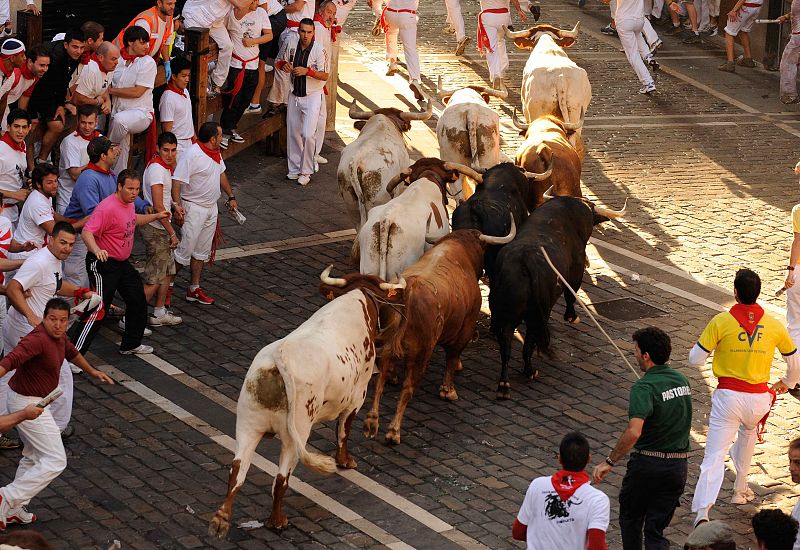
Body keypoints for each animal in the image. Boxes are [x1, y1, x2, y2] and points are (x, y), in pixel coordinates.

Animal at [208, 270, 406, 536]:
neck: (357, 301)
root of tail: (278, 357)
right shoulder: (357, 397)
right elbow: (343, 430)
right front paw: (344, 461)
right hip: (297, 434)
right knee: (280, 480)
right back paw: (277, 521)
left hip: (248, 425)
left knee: (237, 471)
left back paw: (221, 520)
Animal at [366, 222, 516, 446]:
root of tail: (409, 291)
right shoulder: (466, 326)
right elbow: (452, 356)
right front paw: (448, 390)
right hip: (421, 354)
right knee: (408, 388)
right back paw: (393, 431)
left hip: (387, 348)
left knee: (380, 380)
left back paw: (372, 421)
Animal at [488, 198, 612, 402]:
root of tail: (524, 259)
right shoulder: (576, 270)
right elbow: (571, 294)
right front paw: (572, 316)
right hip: (538, 314)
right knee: (529, 341)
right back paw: (530, 371)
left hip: (506, 313)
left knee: (505, 346)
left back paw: (504, 385)